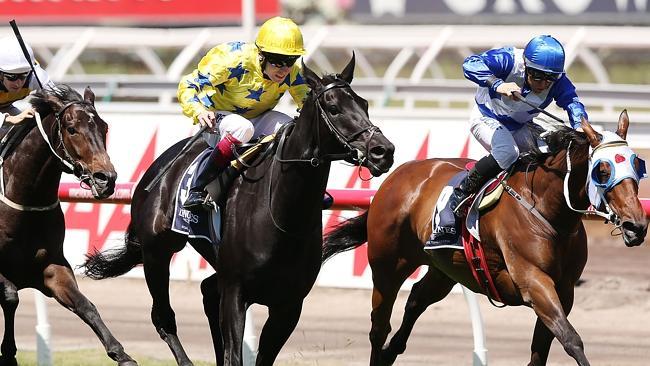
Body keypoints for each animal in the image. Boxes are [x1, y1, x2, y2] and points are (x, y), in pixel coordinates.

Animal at [0, 86, 135, 366]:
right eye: (72, 129)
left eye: (104, 127)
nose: (106, 179)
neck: (25, 200)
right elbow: (10, 296)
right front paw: (8, 352)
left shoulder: (52, 268)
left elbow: (86, 306)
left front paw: (121, 353)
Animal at [322, 112, 644, 366]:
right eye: (603, 170)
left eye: (638, 165)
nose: (637, 226)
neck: (546, 208)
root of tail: (396, 175)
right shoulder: (534, 282)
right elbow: (571, 339)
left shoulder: (564, 290)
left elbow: (542, 349)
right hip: (388, 266)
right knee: (379, 327)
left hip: (445, 268)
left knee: (415, 299)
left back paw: (393, 350)